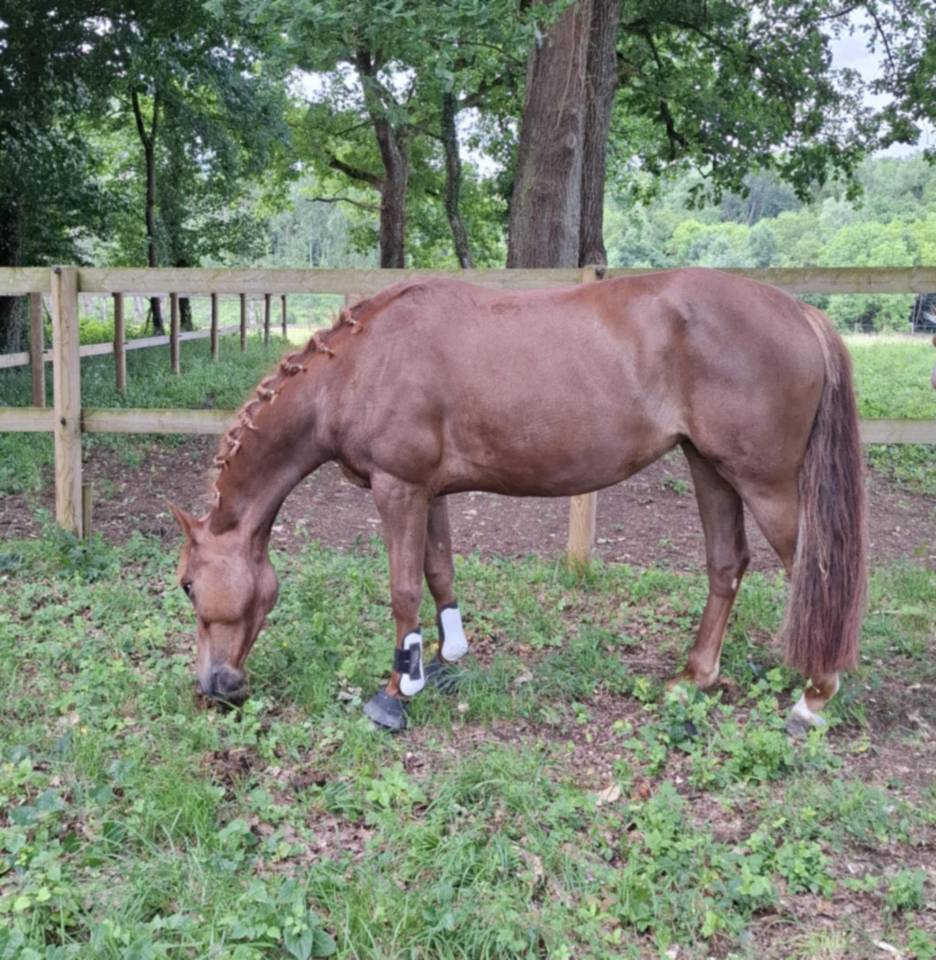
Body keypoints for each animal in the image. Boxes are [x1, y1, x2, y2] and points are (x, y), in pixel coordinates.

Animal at [170, 267, 867, 734]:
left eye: (187, 585)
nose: (213, 688)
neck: (359, 367)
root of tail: (800, 312)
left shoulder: (398, 488)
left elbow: (402, 591)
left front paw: (395, 693)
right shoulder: (429, 492)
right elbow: (439, 573)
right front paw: (442, 662)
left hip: (764, 482)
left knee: (815, 571)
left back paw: (815, 696)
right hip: (710, 468)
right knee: (727, 564)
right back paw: (694, 677)